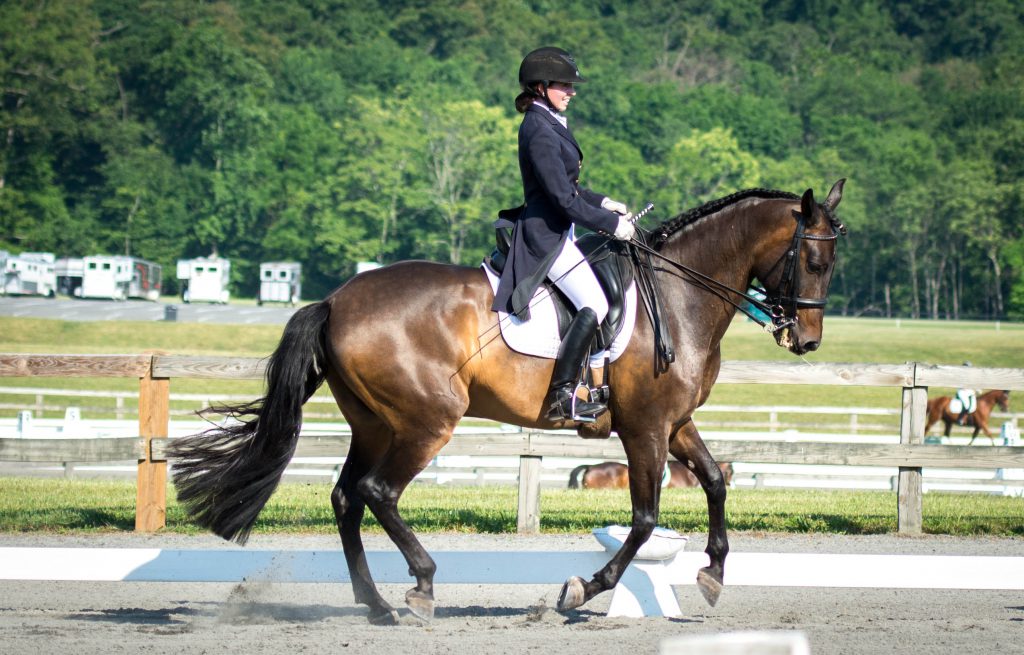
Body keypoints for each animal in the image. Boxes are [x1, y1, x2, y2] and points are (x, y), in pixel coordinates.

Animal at [168, 180, 846, 624]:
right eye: (813, 259)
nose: (807, 340)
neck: (679, 296)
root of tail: (335, 300)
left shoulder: (675, 423)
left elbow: (714, 482)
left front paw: (711, 574)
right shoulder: (645, 428)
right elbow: (645, 517)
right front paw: (583, 590)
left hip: (376, 424)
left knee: (346, 498)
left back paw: (377, 604)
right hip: (426, 420)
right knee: (377, 493)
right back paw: (420, 587)